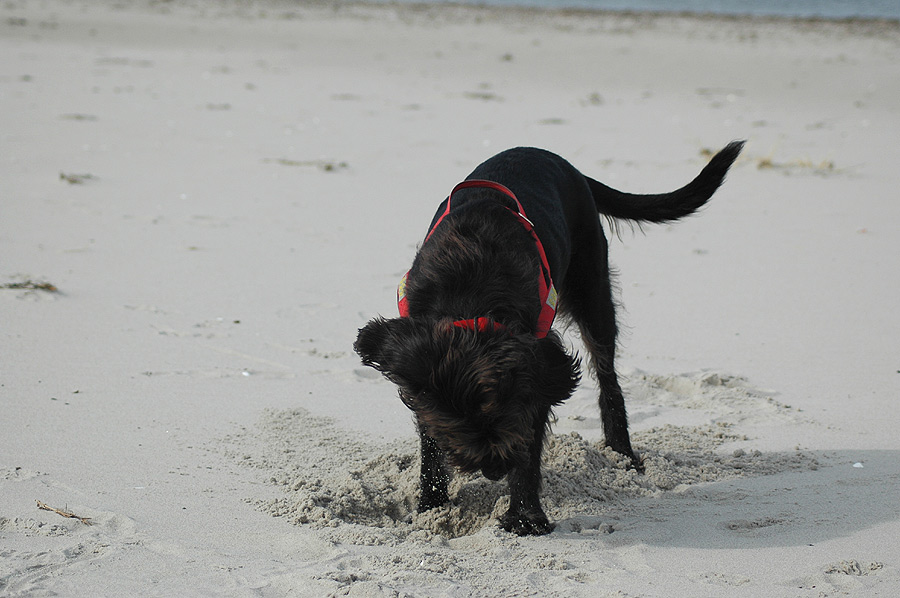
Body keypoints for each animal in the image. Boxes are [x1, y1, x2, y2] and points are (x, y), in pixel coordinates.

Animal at [356, 143, 740, 536]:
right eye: (455, 428)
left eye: (504, 417)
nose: (493, 470)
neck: (471, 301)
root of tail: (557, 160)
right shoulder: (424, 373)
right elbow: (430, 446)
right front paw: (431, 507)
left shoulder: (535, 372)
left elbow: (529, 442)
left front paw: (525, 516)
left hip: (593, 291)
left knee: (608, 374)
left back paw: (622, 453)